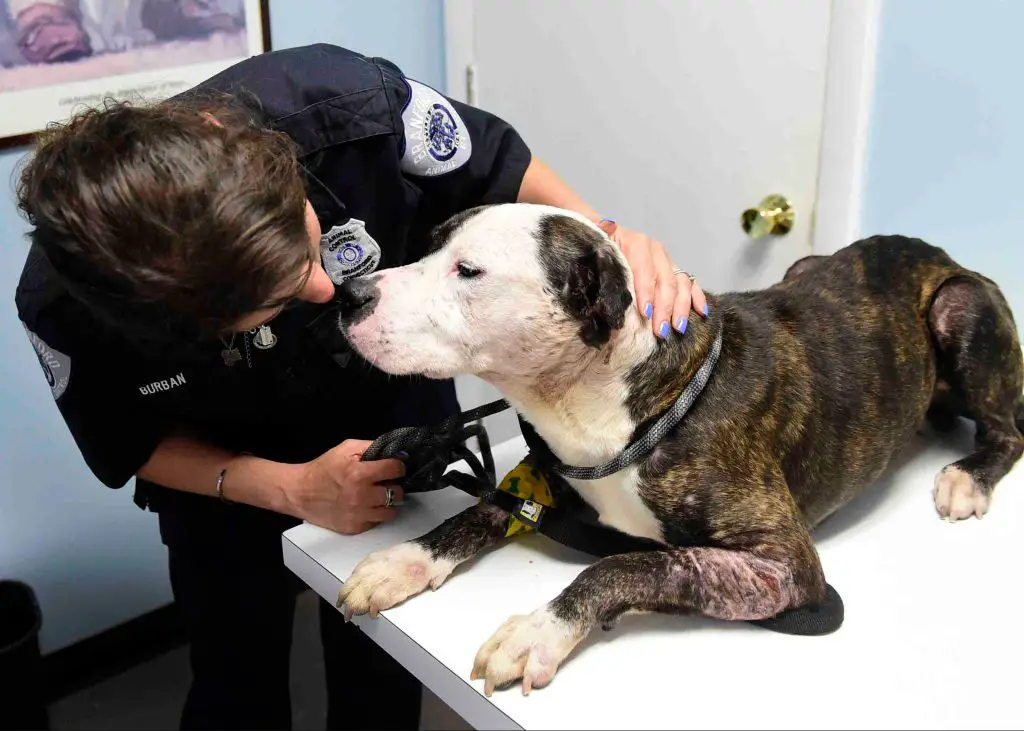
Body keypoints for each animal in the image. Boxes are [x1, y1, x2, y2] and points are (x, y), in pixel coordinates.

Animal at [331, 201, 1019, 692]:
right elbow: (482, 508)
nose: (349, 294)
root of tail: (934, 250)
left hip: (960, 304)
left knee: (1007, 430)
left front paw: (540, 629)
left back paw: (967, 477)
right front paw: (408, 560)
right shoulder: (544, 476)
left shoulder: (783, 569)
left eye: (468, 271)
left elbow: (627, 564)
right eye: (428, 249)